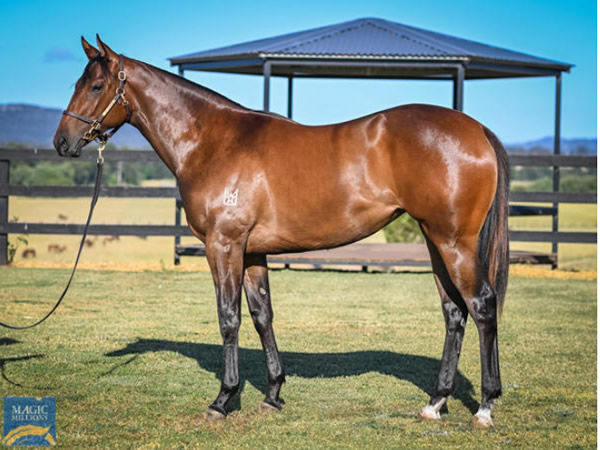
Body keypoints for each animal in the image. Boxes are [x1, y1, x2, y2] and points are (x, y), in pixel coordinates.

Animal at [54, 37, 508, 428]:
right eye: (76, 83)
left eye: (96, 85)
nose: (62, 142)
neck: (212, 141)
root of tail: (477, 130)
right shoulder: (253, 252)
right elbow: (262, 315)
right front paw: (272, 394)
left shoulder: (224, 246)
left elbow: (229, 317)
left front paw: (223, 399)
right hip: (435, 241)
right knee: (454, 312)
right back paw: (435, 403)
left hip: (454, 242)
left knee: (482, 306)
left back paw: (485, 406)